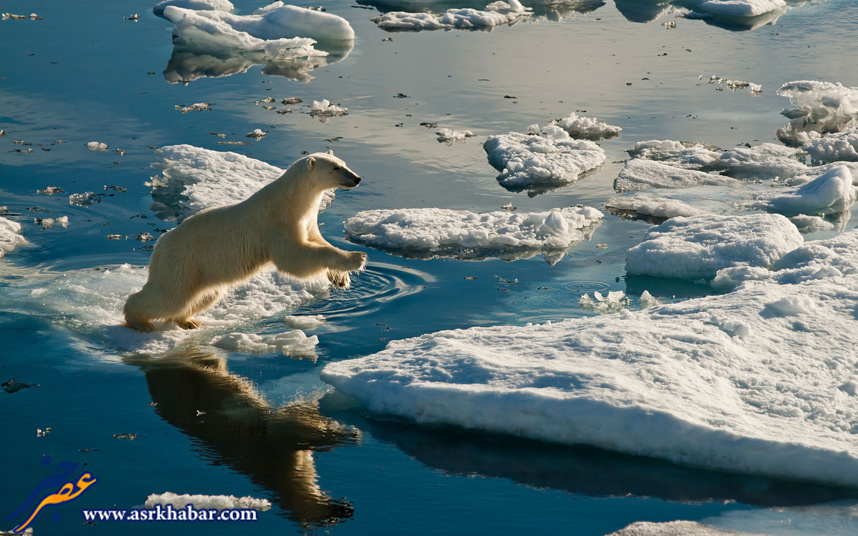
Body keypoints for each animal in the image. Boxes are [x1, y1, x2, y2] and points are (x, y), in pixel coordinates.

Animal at [123, 151, 364, 330]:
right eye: (335, 167)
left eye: (344, 163)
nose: (357, 178)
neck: (294, 199)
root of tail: (161, 243)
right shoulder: (278, 221)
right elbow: (293, 257)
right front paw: (357, 257)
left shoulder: (307, 220)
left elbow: (317, 241)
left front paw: (340, 278)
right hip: (183, 261)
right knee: (169, 296)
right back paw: (140, 322)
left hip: (200, 270)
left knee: (203, 295)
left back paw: (189, 321)